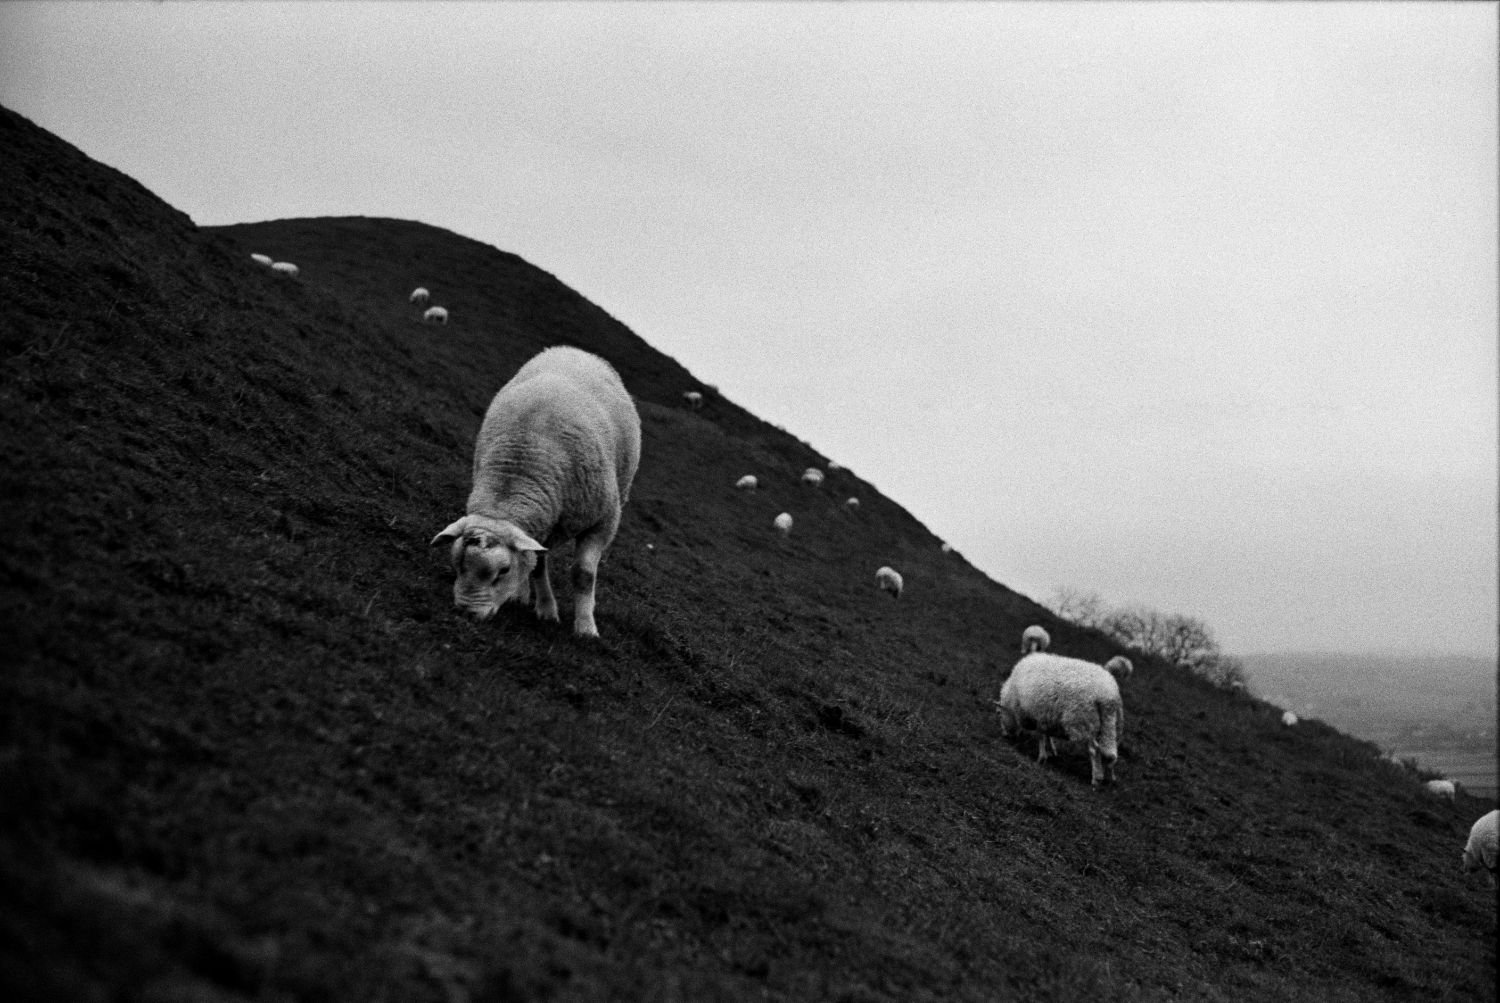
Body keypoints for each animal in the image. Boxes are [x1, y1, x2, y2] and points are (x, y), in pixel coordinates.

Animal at [429, 344, 639, 638]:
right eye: (457, 564)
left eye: (503, 571)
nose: (466, 613)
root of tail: (571, 349)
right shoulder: (541, 527)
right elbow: (537, 565)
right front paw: (546, 608)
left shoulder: (603, 522)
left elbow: (583, 575)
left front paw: (586, 628)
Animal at [996, 653, 1128, 785]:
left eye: (999, 714)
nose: (1004, 735)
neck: (1013, 696)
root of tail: (1107, 696)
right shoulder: (1047, 717)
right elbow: (1047, 736)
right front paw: (1052, 751)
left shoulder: (1038, 715)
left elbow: (1041, 736)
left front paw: (1041, 758)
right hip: (1111, 725)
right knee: (1111, 754)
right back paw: (1110, 778)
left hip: (1084, 722)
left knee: (1095, 750)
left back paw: (1096, 778)